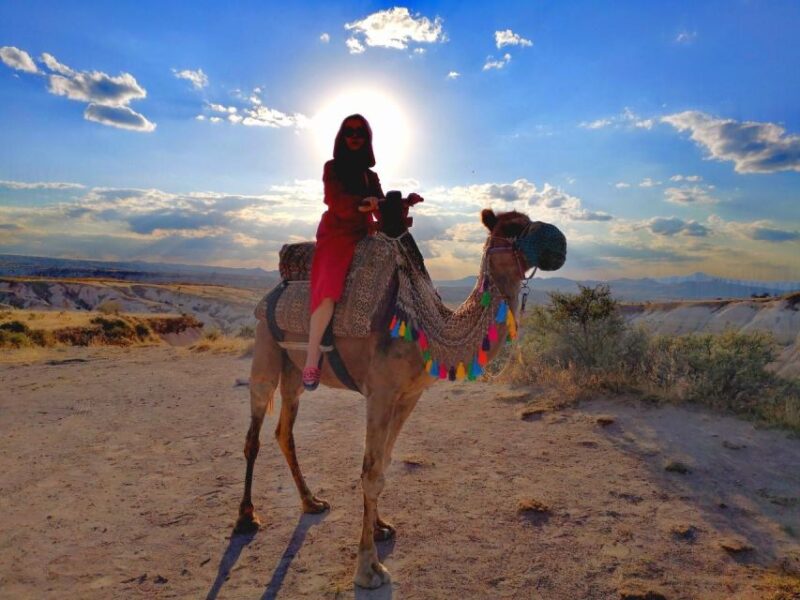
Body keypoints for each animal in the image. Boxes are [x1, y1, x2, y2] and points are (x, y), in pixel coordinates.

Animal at [233, 207, 566, 589]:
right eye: (512, 229)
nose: (558, 240)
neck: (427, 333)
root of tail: (274, 289)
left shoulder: (409, 396)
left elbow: (384, 464)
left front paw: (380, 528)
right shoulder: (380, 393)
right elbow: (370, 472)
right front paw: (368, 568)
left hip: (296, 369)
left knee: (284, 431)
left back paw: (311, 502)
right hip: (265, 344)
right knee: (254, 432)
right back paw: (246, 518)